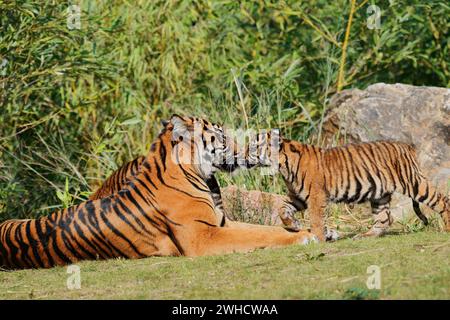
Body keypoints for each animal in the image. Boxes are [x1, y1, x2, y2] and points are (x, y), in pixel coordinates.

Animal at [0, 115, 316, 270]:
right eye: (223, 137)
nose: (244, 151)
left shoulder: (221, 223)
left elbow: (263, 229)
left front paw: (305, 230)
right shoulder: (204, 236)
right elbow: (261, 235)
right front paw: (304, 236)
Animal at [248, 132, 448, 240]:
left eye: (252, 147)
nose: (241, 155)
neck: (283, 165)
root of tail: (407, 145)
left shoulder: (316, 196)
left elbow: (316, 219)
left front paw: (318, 238)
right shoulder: (299, 196)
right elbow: (283, 209)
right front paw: (294, 223)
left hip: (413, 183)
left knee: (442, 200)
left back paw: (447, 228)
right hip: (380, 195)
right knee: (384, 218)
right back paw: (366, 235)